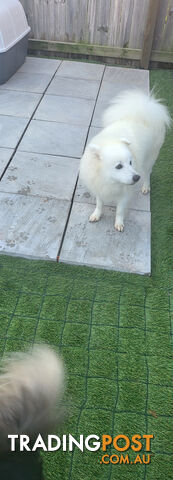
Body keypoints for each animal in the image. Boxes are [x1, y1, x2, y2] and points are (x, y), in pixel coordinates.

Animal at [79, 91, 170, 232]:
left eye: (131, 162)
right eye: (119, 166)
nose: (136, 177)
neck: (109, 181)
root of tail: (144, 111)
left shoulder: (124, 193)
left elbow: (119, 210)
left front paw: (119, 223)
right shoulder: (99, 186)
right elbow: (99, 203)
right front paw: (96, 214)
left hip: (149, 159)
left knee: (147, 173)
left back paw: (145, 187)